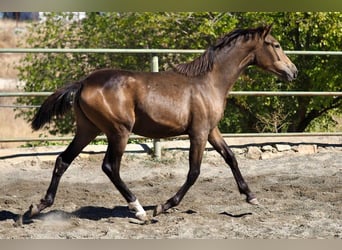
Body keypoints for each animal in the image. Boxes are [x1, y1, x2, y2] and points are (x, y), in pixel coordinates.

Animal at [19, 23, 296, 223]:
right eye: (276, 44)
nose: (293, 72)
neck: (209, 82)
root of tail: (84, 82)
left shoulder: (211, 130)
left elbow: (231, 158)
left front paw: (251, 197)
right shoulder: (198, 132)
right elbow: (194, 172)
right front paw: (163, 206)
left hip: (88, 129)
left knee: (63, 161)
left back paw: (35, 208)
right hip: (118, 131)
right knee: (110, 167)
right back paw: (140, 210)